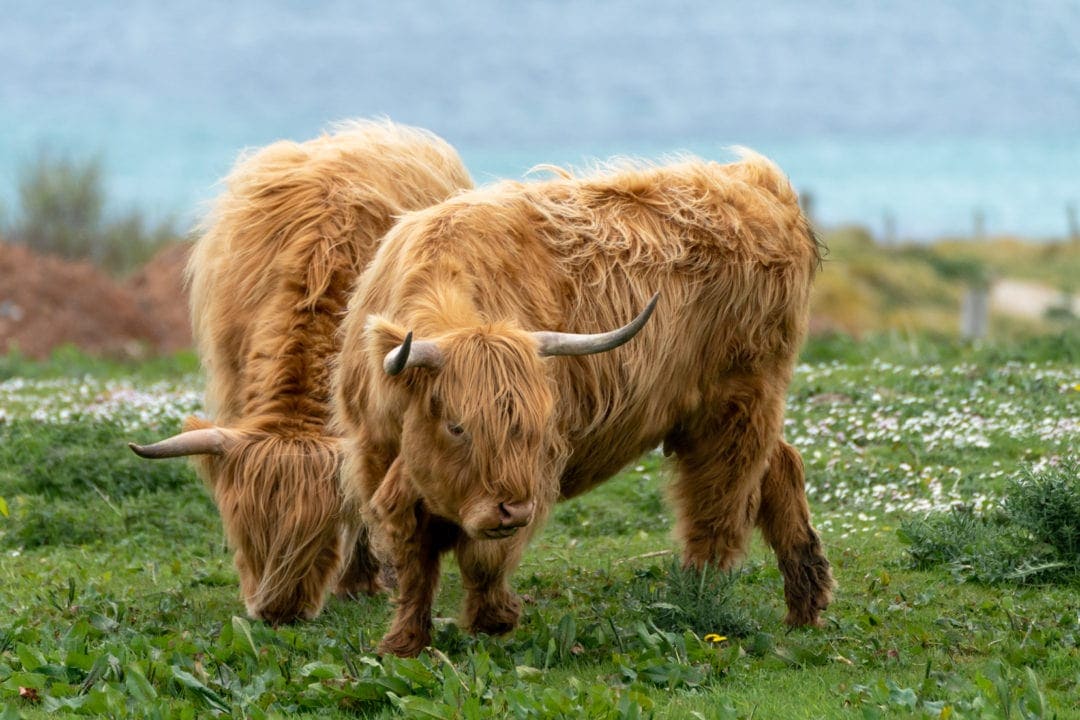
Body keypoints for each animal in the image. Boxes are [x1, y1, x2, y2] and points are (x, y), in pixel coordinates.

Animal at [334, 148, 833, 656]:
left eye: (534, 426)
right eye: (456, 426)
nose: (512, 510)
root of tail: (757, 181)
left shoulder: (533, 472)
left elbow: (484, 558)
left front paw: (492, 620)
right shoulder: (376, 459)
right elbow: (413, 564)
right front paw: (403, 642)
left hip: (737, 404)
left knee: (719, 504)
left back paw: (702, 595)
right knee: (779, 468)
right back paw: (805, 605)